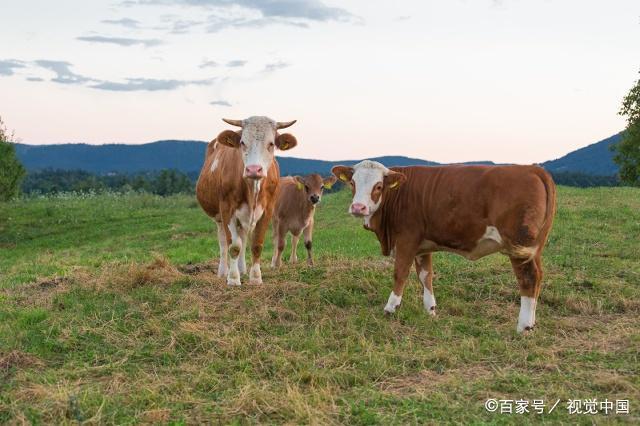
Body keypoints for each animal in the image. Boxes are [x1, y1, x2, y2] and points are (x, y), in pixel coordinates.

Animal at [196, 115, 298, 286]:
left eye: (271, 143)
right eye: (243, 142)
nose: (253, 169)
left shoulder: (267, 210)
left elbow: (256, 244)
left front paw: (255, 277)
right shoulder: (227, 210)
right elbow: (233, 246)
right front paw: (233, 278)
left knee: (243, 238)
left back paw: (242, 269)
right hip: (219, 217)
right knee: (223, 242)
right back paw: (223, 271)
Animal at [330, 160, 556, 332]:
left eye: (378, 186)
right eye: (353, 183)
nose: (358, 207)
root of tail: (533, 169)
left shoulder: (406, 239)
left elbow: (400, 272)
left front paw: (391, 307)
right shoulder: (422, 245)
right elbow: (425, 275)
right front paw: (430, 309)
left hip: (520, 246)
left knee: (528, 278)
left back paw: (523, 327)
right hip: (534, 248)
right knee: (538, 277)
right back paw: (531, 323)